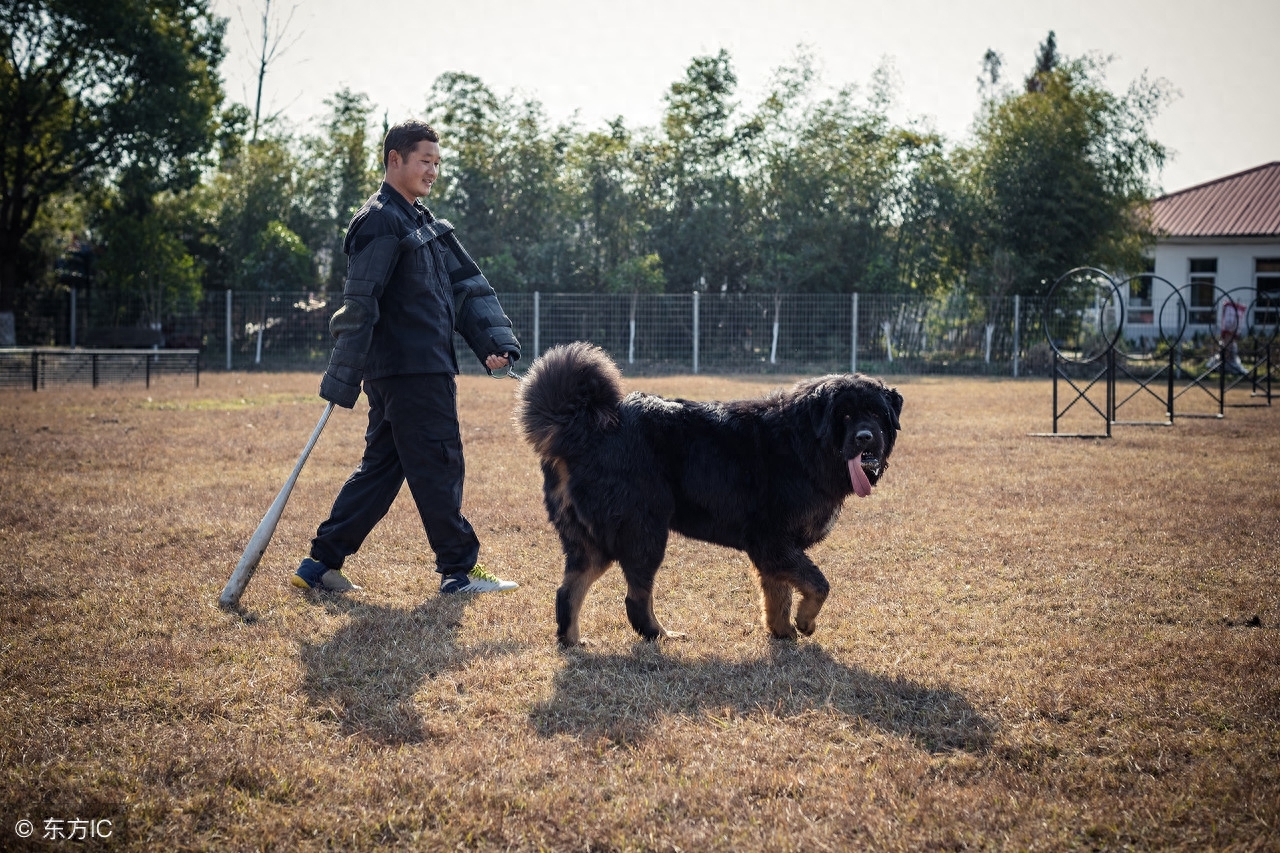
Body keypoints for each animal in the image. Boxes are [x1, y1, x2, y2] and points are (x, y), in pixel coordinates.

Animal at [512, 343, 901, 640]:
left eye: (878, 415)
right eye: (845, 416)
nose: (866, 438)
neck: (803, 445)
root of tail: (585, 426)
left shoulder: (774, 549)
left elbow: (778, 595)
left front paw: (782, 632)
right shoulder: (772, 541)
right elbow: (818, 584)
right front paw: (805, 623)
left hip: (591, 542)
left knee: (567, 591)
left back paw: (573, 641)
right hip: (643, 533)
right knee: (636, 598)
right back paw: (660, 635)